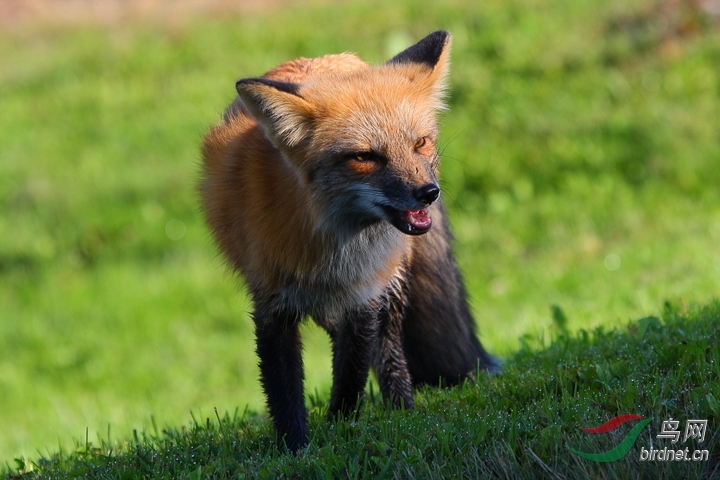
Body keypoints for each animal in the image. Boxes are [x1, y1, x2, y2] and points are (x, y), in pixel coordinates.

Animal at [200, 31, 498, 454]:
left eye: (420, 143)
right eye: (365, 157)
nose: (428, 193)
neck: (332, 249)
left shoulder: (364, 295)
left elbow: (353, 372)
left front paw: (341, 428)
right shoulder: (271, 302)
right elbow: (283, 388)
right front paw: (295, 449)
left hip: (391, 286)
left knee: (388, 351)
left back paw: (404, 412)